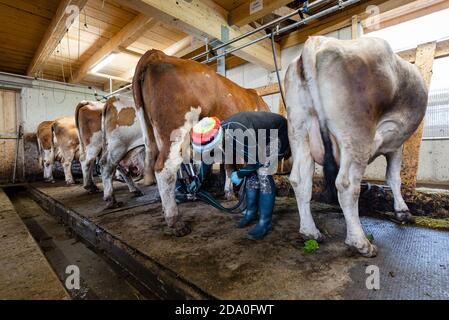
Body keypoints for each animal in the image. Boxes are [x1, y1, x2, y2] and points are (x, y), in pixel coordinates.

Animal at [131, 49, 268, 235]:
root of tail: (158, 54)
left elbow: (229, 167)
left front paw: (229, 193)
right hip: (175, 130)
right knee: (164, 169)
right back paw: (175, 220)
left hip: (155, 133)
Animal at [284, 36, 428, 258]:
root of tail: (317, 41)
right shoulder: (396, 144)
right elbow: (394, 177)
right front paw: (402, 211)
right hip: (357, 132)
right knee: (347, 186)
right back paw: (360, 242)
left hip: (299, 130)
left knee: (300, 180)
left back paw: (311, 232)